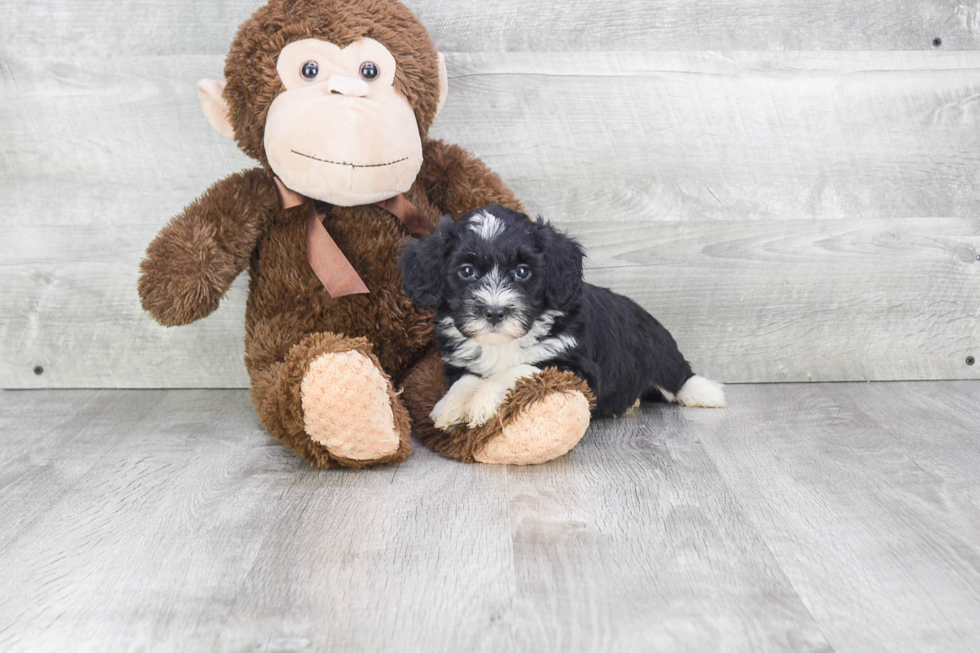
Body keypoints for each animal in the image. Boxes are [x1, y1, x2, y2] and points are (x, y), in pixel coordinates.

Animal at [400, 204, 728, 428]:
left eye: (523, 272)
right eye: (466, 271)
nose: (494, 312)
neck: (504, 343)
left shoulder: (575, 367)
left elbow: (519, 369)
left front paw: (484, 399)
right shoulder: (462, 361)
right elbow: (467, 378)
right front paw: (451, 405)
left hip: (659, 349)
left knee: (678, 374)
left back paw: (705, 393)